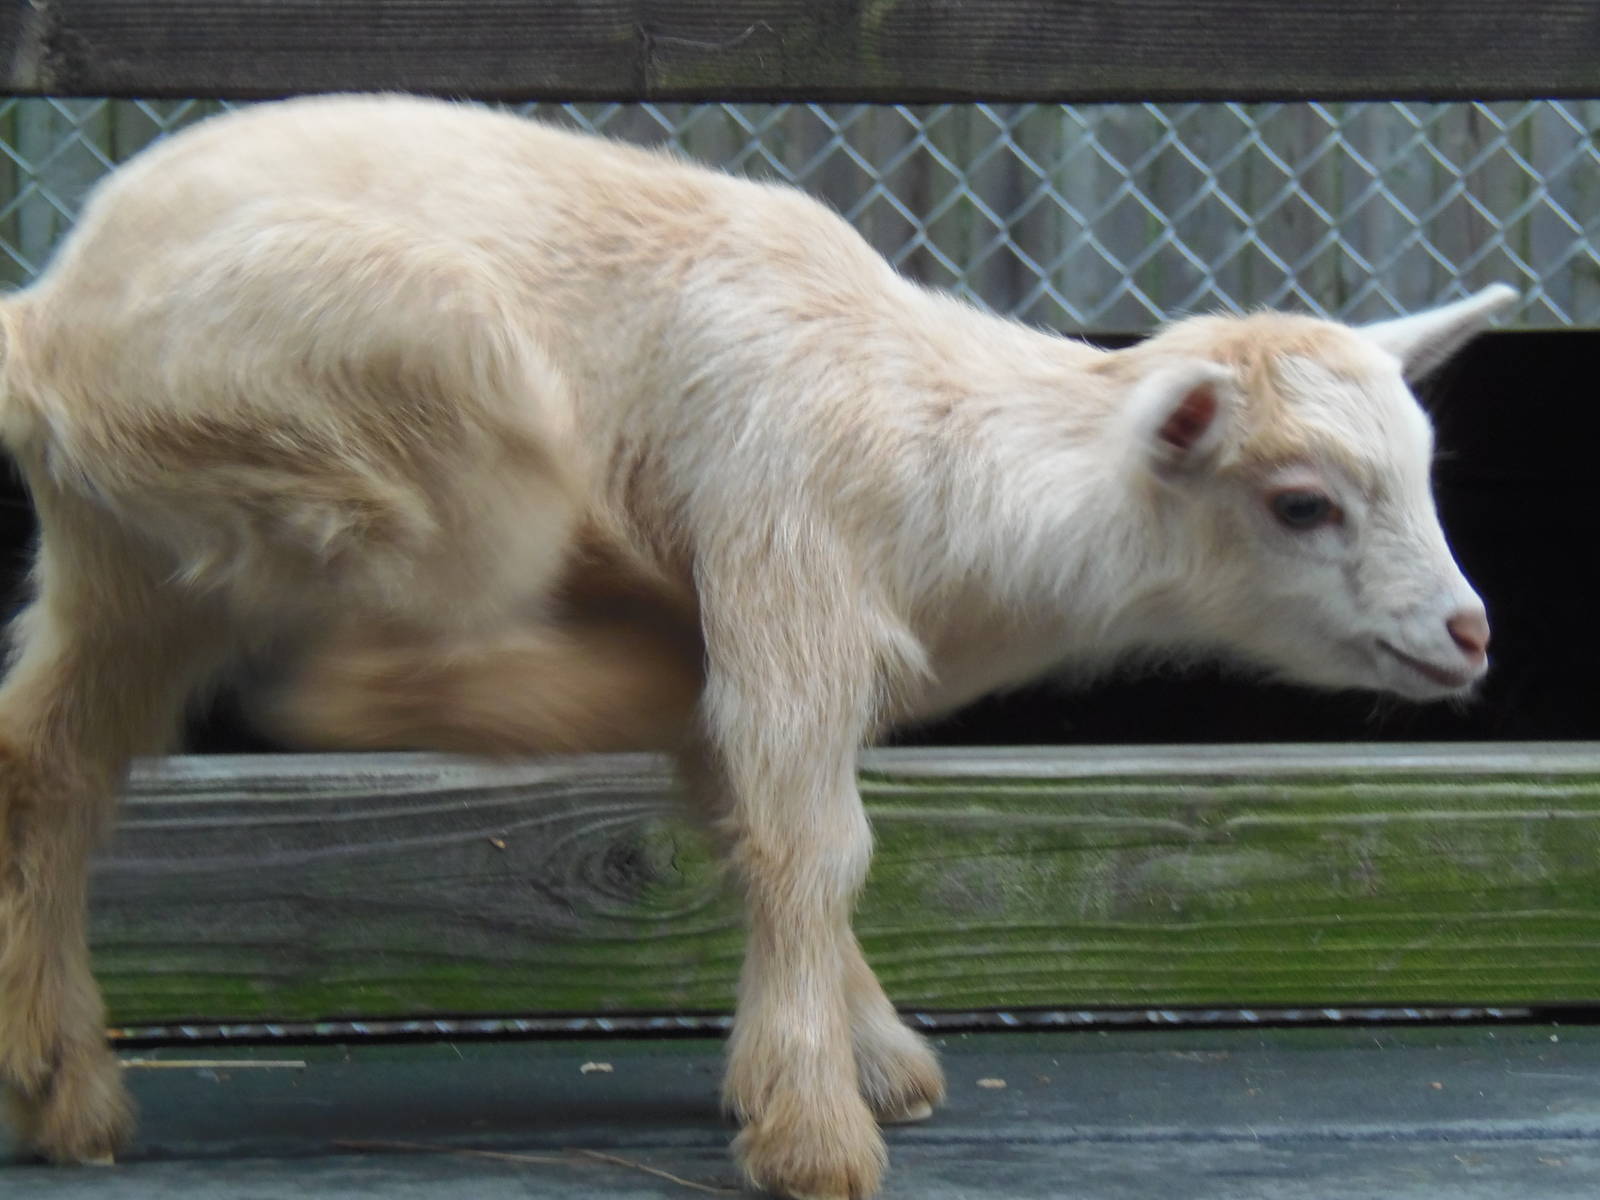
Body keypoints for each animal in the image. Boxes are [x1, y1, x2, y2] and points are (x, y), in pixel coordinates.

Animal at [0, 95, 1508, 1199]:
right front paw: (813, 1130)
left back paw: (55, 1080)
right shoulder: (787, 564)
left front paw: (863, 1052)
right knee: (348, 679)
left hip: (133, 562)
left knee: (52, 760)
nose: (1467, 632)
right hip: (417, 406)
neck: (942, 453)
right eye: (1301, 503)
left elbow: (744, 821)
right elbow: (809, 839)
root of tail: (58, 323)